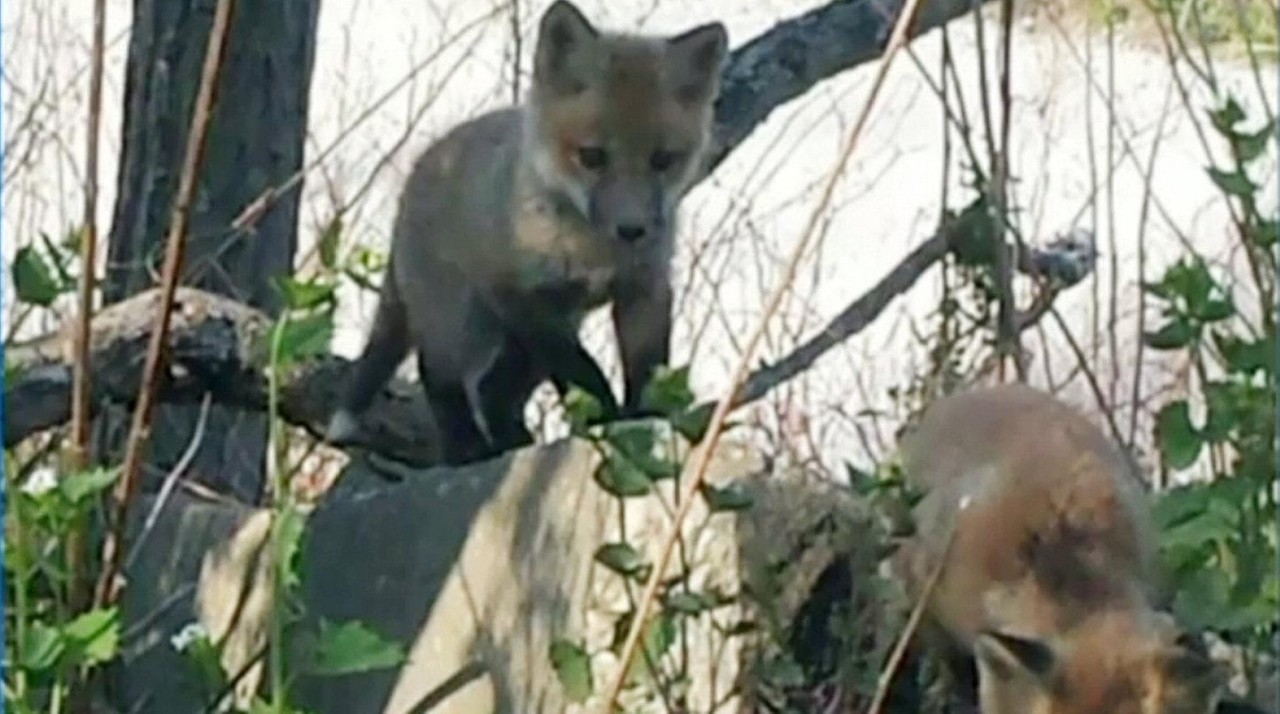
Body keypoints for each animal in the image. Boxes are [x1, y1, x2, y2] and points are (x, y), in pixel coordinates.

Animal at [325, 1, 728, 465]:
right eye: (592, 156)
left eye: (663, 160)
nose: (631, 229)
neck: (593, 251)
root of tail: (415, 176)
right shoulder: (524, 297)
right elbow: (581, 371)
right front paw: (602, 419)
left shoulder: (643, 289)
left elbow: (647, 369)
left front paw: (644, 420)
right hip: (461, 323)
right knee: (439, 379)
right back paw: (466, 449)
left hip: (526, 338)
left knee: (490, 390)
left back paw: (510, 440)